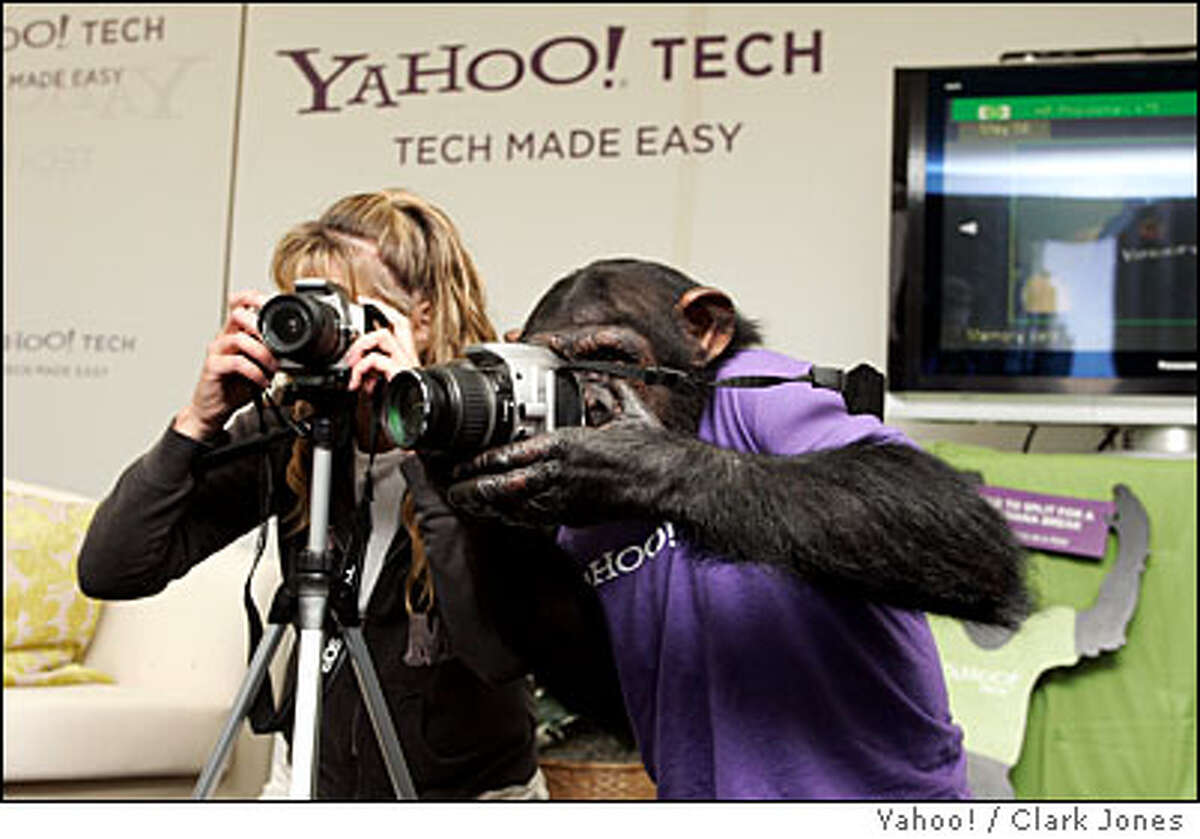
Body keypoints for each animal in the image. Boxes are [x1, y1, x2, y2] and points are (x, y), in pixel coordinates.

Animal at [429, 258, 1022, 801]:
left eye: (612, 358)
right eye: (560, 359)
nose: (592, 401)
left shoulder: (783, 393)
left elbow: (942, 507)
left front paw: (624, 460)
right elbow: (596, 672)